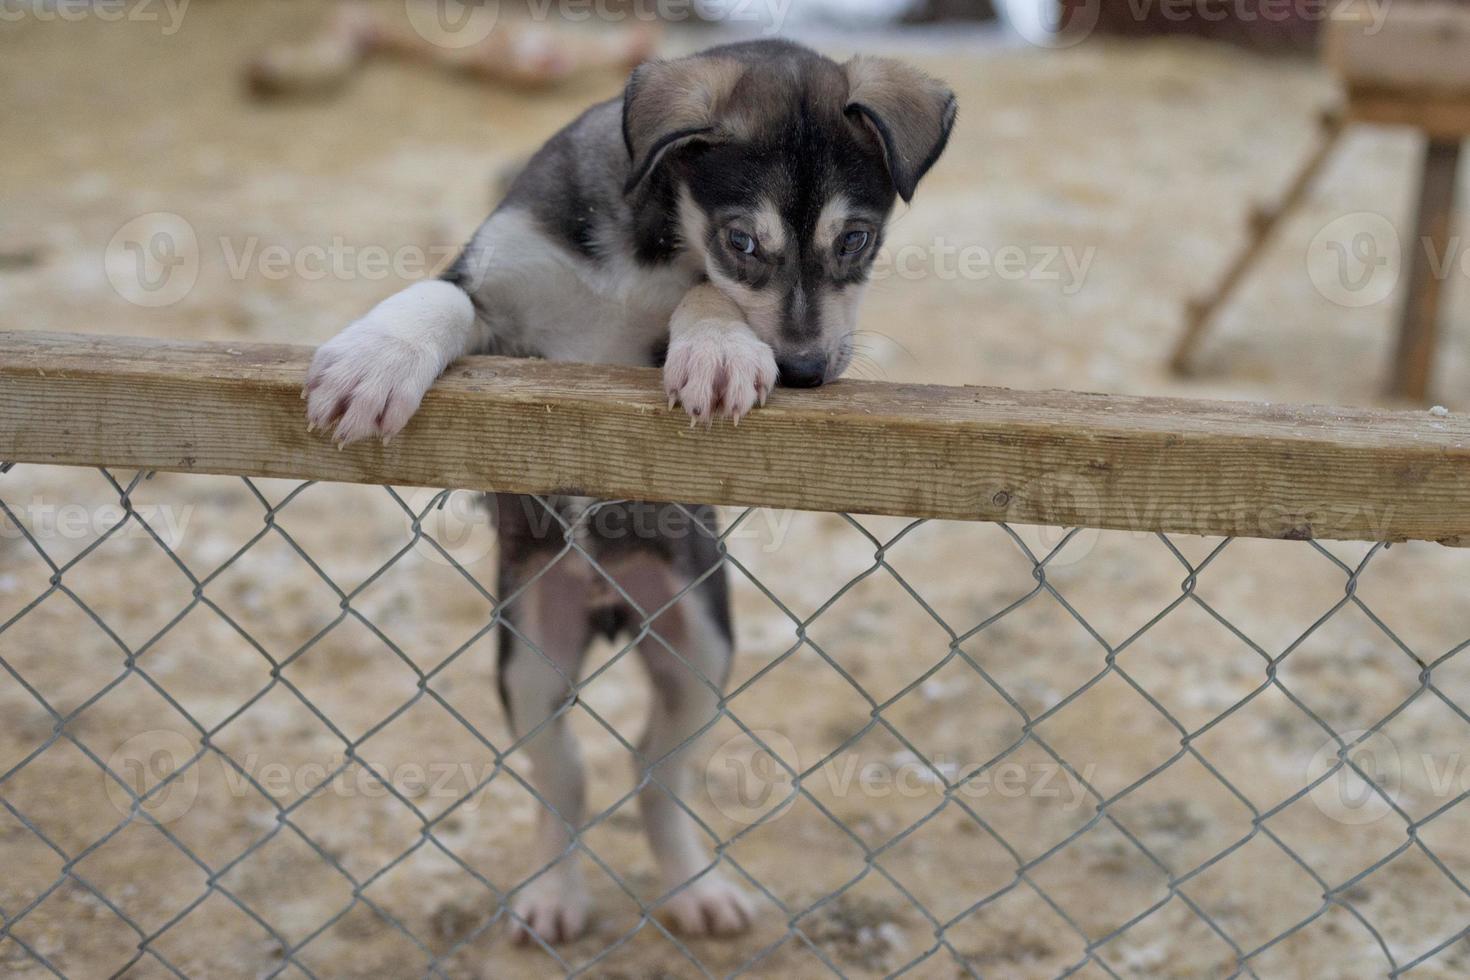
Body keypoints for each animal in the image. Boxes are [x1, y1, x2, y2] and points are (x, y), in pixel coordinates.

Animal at [304, 40, 958, 952]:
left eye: (856, 239)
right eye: (742, 240)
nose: (804, 372)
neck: (646, 236)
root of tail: (607, 602)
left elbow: (701, 294)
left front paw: (719, 349)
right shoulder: (494, 304)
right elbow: (435, 294)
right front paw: (377, 358)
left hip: (699, 649)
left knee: (655, 771)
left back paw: (692, 887)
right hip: (531, 655)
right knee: (565, 777)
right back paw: (554, 890)